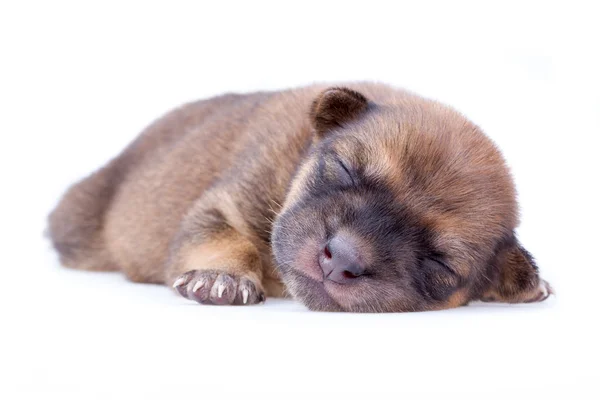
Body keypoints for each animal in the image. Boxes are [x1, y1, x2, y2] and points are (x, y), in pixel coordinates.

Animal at [48, 82, 552, 312]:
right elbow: (225, 238)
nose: (340, 259)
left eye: (438, 263)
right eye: (346, 169)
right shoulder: (227, 203)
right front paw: (221, 276)